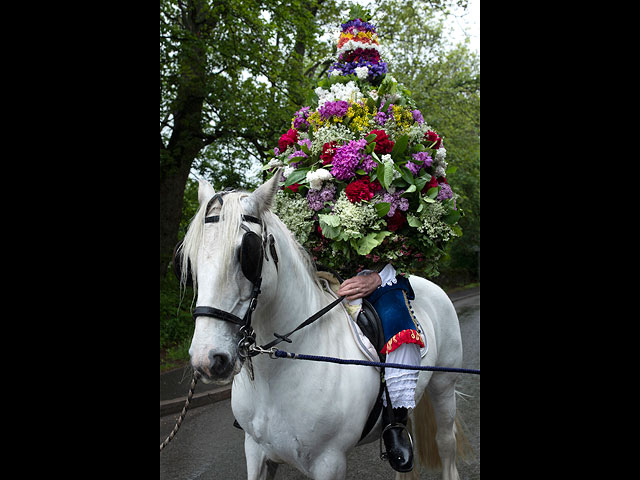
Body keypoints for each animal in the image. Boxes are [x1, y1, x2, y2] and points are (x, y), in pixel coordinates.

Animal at [180, 172, 470, 480]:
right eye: (190, 260)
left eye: (248, 253)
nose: (208, 359)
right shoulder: (256, 452)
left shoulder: (329, 462)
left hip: (443, 385)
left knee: (446, 443)